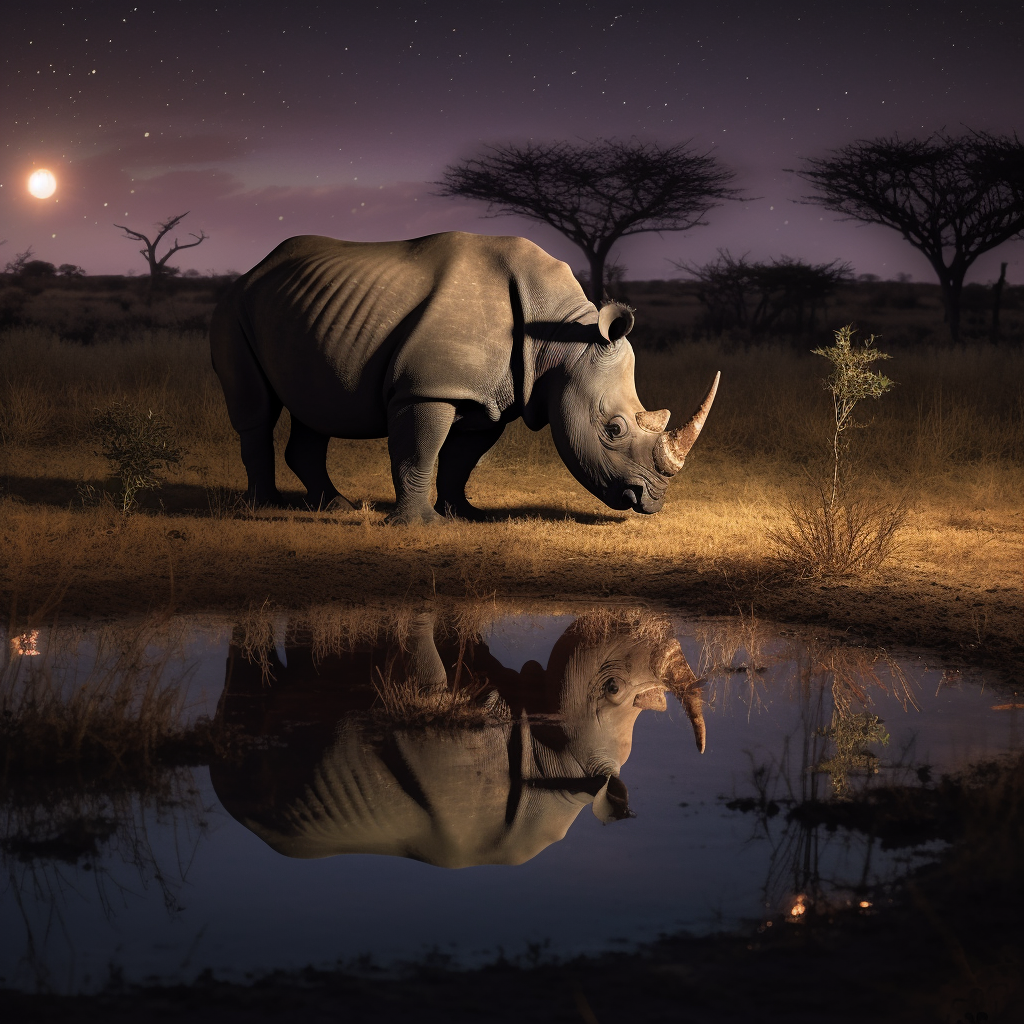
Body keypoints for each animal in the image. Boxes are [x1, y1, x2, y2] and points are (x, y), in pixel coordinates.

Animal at [210, 232, 719, 523]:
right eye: (613, 429)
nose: (652, 500)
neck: (561, 339)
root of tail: (253, 270)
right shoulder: (427, 389)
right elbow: (419, 451)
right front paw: (420, 526)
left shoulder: (491, 400)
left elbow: (462, 457)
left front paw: (463, 515)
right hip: (234, 308)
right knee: (257, 411)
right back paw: (264, 508)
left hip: (308, 310)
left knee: (316, 407)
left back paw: (335, 508)